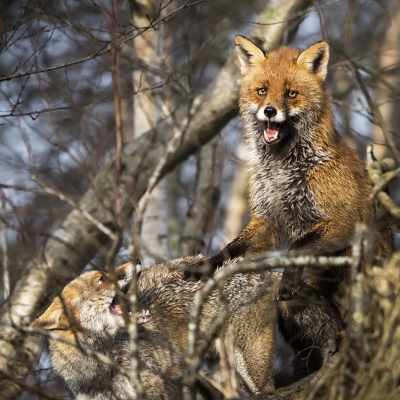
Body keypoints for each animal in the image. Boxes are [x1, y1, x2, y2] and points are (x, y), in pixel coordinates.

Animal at [188, 35, 394, 304]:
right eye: (262, 91)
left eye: (291, 93)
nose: (270, 111)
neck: (281, 170)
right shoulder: (267, 217)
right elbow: (229, 249)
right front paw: (205, 266)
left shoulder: (344, 221)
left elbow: (297, 248)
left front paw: (288, 282)